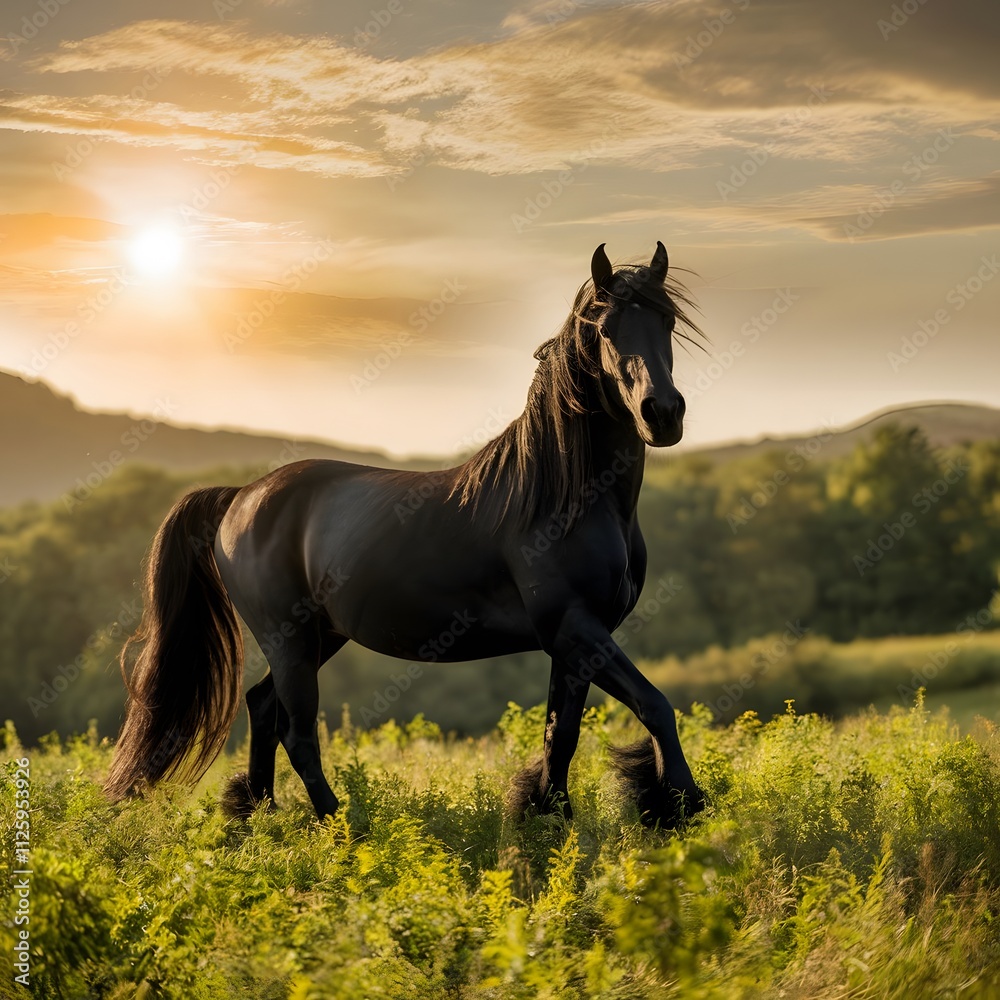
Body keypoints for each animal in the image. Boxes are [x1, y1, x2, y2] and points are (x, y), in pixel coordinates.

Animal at [105, 241, 707, 828]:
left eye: (667, 319)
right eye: (604, 328)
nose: (662, 413)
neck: (565, 498)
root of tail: (241, 497)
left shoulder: (574, 639)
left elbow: (562, 733)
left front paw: (551, 817)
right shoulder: (575, 626)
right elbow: (654, 705)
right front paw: (680, 801)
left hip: (318, 637)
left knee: (262, 707)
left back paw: (258, 817)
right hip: (289, 640)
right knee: (296, 732)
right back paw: (340, 827)